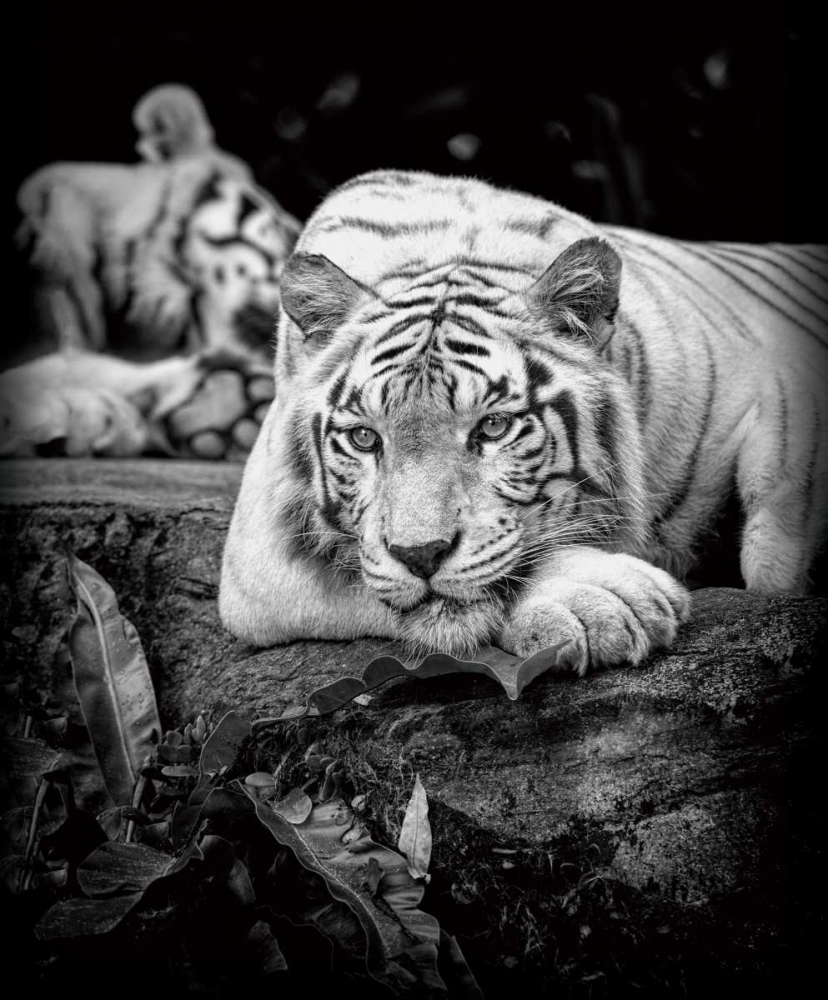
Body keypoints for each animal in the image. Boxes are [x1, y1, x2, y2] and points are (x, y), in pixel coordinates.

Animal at [219, 169, 828, 674]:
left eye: (492, 428)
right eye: (365, 438)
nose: (420, 555)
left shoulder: (779, 390)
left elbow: (773, 542)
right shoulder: (262, 555)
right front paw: (598, 599)